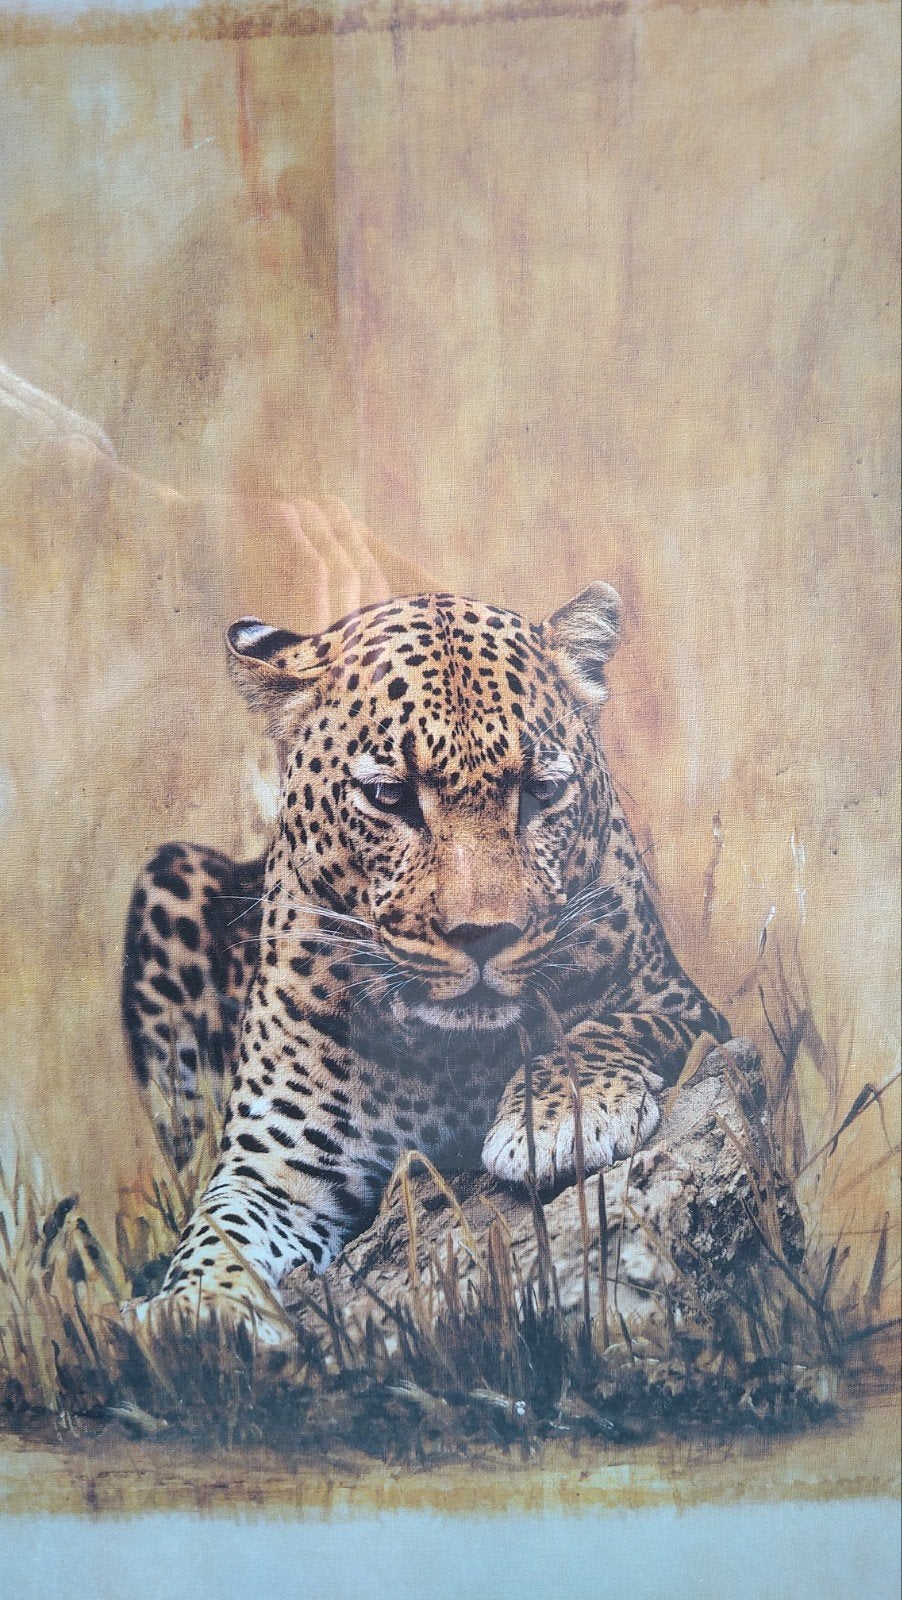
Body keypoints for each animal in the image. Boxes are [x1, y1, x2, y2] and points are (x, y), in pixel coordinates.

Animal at [121, 582, 729, 1342]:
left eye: (541, 792)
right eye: (390, 796)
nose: (482, 935)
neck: (452, 1058)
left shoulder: (690, 1010)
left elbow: (608, 1027)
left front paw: (562, 1118)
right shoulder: (277, 1164)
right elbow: (220, 1225)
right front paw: (198, 1308)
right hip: (168, 875)